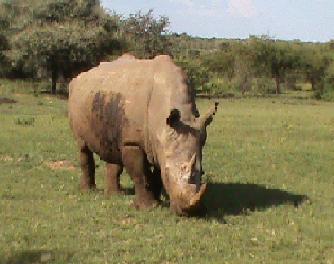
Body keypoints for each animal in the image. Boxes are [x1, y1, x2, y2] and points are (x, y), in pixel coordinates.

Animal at [69, 54, 218, 216]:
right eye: (168, 174)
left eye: (202, 172)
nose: (189, 213)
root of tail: (79, 77)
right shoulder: (133, 142)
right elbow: (140, 174)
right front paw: (149, 207)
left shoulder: (161, 142)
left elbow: (156, 174)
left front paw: (158, 201)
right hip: (77, 100)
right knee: (83, 147)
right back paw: (89, 191)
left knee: (114, 146)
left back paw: (115, 195)